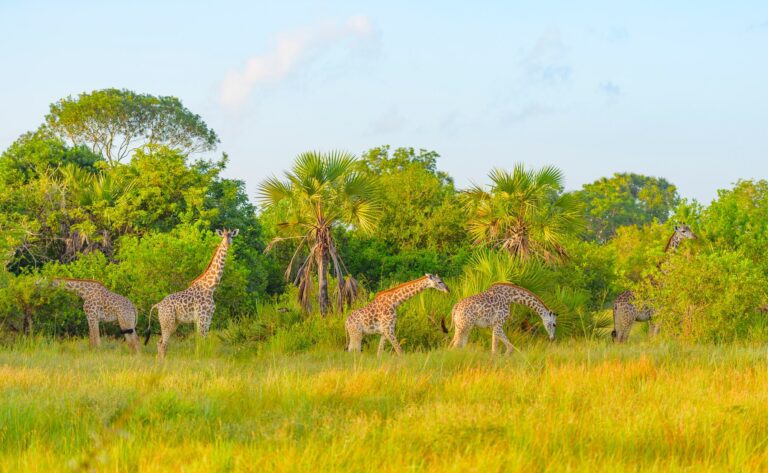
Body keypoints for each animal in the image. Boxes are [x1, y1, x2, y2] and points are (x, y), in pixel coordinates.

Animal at [144, 228, 238, 359]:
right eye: (223, 236)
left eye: (231, 236)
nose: (227, 242)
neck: (210, 287)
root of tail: (158, 305)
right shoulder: (202, 316)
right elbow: (202, 340)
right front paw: (200, 358)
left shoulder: (208, 317)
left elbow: (203, 340)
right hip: (167, 322)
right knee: (163, 344)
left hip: (173, 323)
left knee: (160, 343)